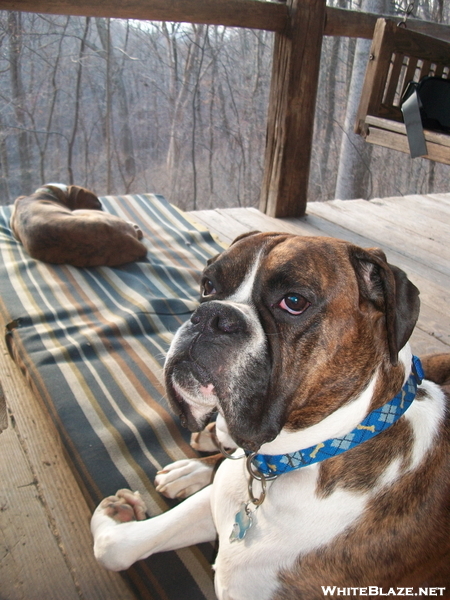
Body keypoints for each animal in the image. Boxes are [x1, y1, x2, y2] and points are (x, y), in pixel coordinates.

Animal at [89, 232, 448, 596]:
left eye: (294, 301)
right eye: (207, 285)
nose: (211, 315)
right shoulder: (219, 499)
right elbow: (114, 547)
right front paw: (118, 514)